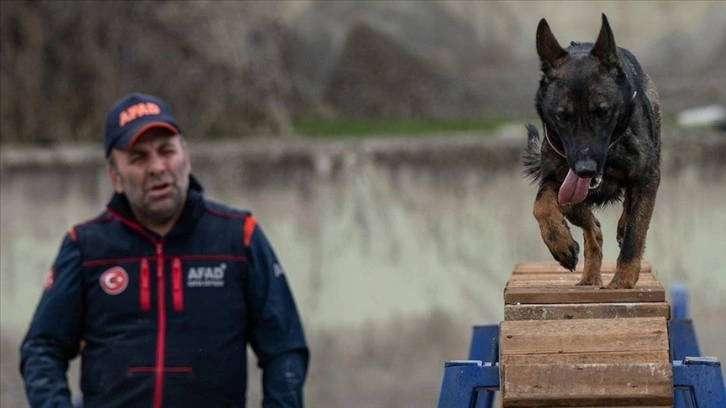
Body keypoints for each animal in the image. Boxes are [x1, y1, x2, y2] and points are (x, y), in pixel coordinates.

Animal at [528, 14, 664, 288]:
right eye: (563, 116)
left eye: (602, 112)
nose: (585, 169)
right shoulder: (557, 180)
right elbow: (540, 204)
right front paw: (560, 243)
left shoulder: (647, 178)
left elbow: (635, 234)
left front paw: (623, 282)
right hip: (572, 201)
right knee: (595, 228)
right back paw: (589, 276)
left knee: (627, 211)